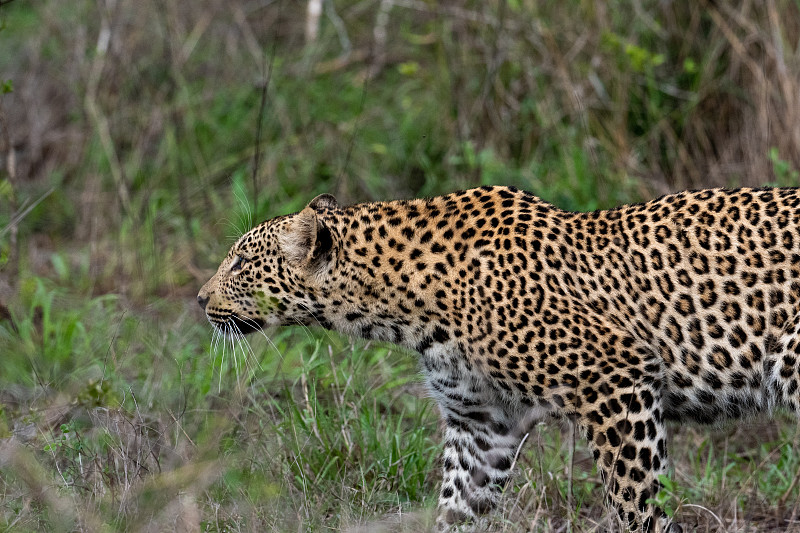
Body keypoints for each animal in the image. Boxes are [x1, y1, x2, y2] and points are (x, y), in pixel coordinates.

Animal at [198, 185, 800, 528]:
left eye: (238, 264)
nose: (200, 299)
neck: (402, 309)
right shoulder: (482, 424)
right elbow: (455, 511)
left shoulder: (615, 383)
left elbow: (636, 506)